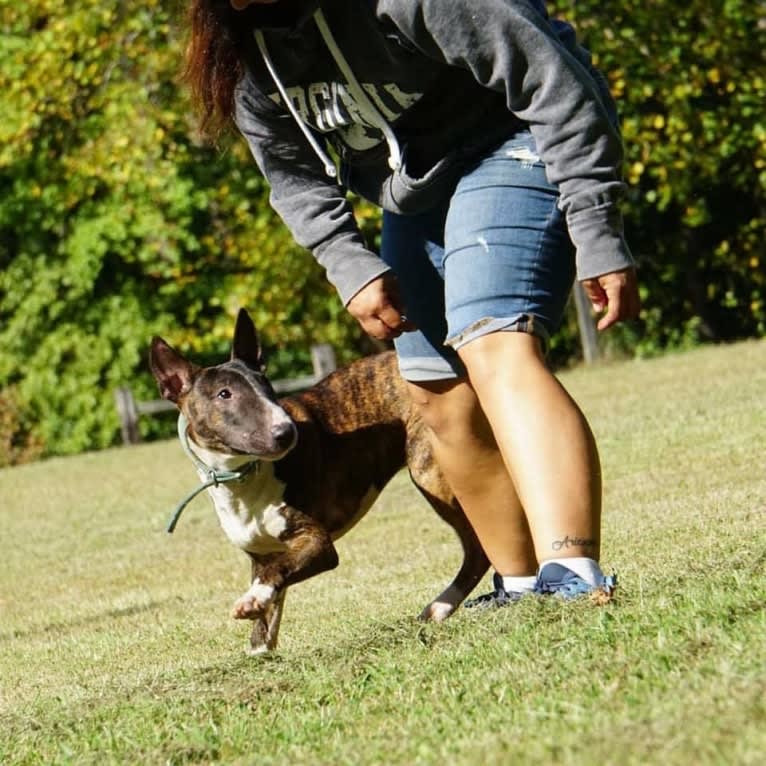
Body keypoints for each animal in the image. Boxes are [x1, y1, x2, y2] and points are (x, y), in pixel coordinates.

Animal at [147, 308, 488, 656]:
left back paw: (441, 605)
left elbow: (279, 570)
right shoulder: (261, 554)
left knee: (478, 547)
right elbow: (267, 616)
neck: (241, 479)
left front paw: (253, 598)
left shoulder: (317, 544)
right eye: (224, 394)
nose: (286, 432)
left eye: (266, 386)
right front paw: (258, 647)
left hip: (431, 471)